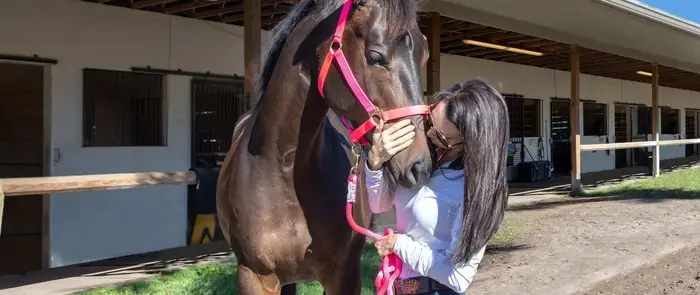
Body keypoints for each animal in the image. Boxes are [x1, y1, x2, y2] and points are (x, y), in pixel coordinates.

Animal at [215, 0, 432, 294]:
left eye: (424, 55)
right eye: (375, 56)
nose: (420, 165)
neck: (281, 166)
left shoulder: (344, 274)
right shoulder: (254, 277)